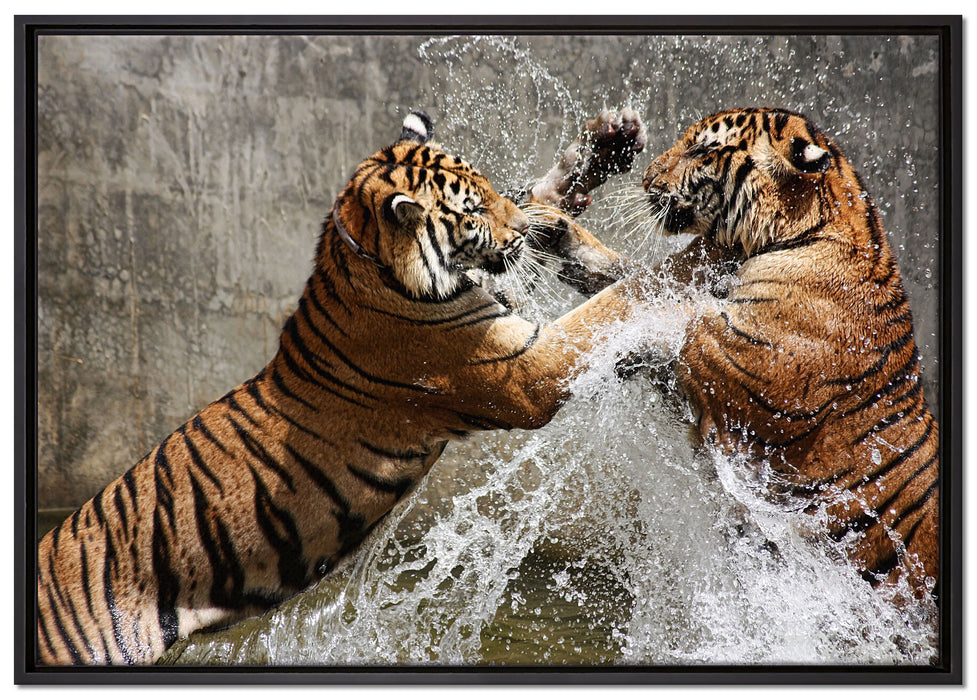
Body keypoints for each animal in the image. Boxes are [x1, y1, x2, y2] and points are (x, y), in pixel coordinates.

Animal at [35, 109, 652, 665]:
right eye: (473, 210)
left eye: (490, 190)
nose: (520, 232)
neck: (365, 258)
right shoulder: (524, 370)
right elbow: (612, 304)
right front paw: (670, 273)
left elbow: (546, 216)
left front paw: (604, 146)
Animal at [534, 107, 940, 599]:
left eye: (700, 149)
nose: (646, 178)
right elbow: (641, 280)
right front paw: (559, 232)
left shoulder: (741, 366)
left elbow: (657, 306)